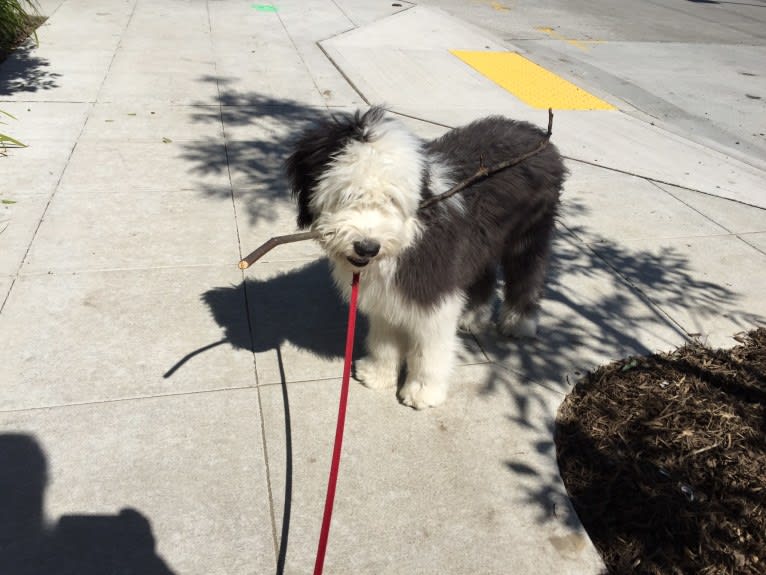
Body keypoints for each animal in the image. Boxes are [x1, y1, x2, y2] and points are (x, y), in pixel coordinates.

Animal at [284, 107, 568, 410]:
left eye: (392, 199)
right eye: (348, 195)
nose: (367, 248)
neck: (410, 233)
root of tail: (535, 133)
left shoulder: (434, 290)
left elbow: (429, 347)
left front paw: (423, 390)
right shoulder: (388, 294)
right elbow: (384, 337)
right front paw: (378, 374)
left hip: (529, 232)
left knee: (528, 272)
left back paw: (519, 322)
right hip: (481, 243)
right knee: (484, 274)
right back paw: (473, 315)